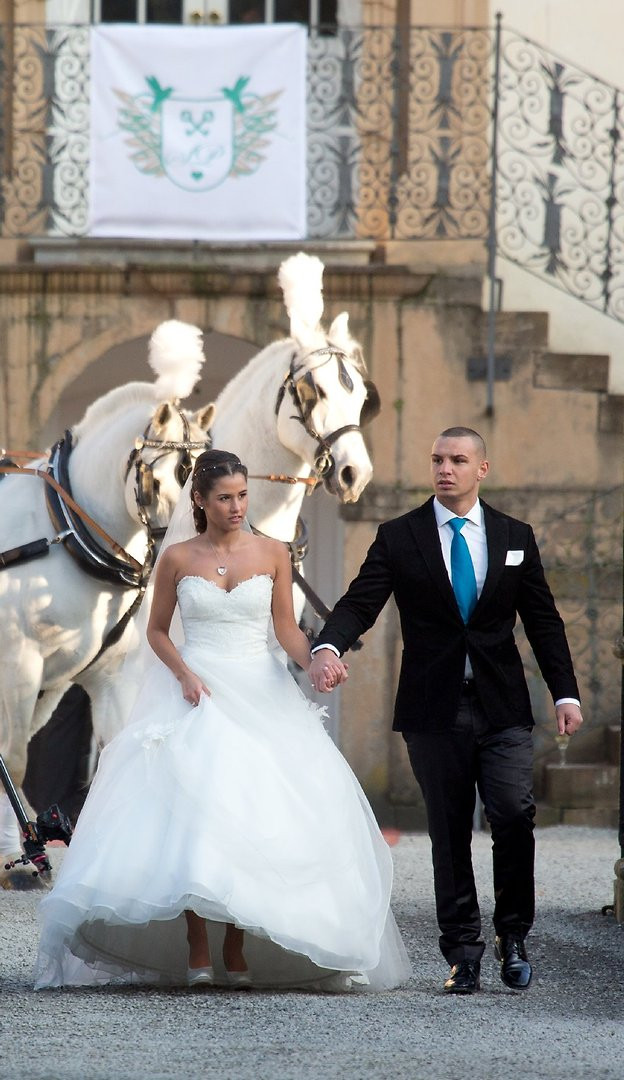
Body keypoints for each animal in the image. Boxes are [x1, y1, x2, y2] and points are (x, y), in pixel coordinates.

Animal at [0, 250, 375, 859]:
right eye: (312, 390)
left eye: (361, 395)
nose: (354, 473)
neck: (68, 531)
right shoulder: (19, 660)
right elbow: (12, 753)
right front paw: (20, 853)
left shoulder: (110, 671)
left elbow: (115, 748)